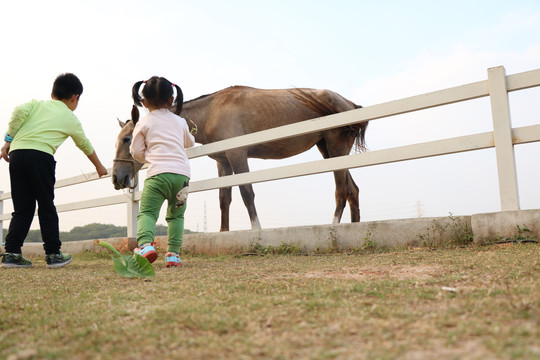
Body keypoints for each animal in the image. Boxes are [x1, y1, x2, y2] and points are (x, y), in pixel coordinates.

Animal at [113, 87, 368, 232]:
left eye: (127, 139)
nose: (117, 177)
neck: (212, 111)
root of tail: (349, 103)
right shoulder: (224, 161)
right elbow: (224, 198)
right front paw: (223, 233)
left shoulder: (238, 156)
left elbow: (247, 192)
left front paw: (256, 229)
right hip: (328, 150)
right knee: (352, 189)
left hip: (335, 148)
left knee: (341, 191)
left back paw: (333, 227)